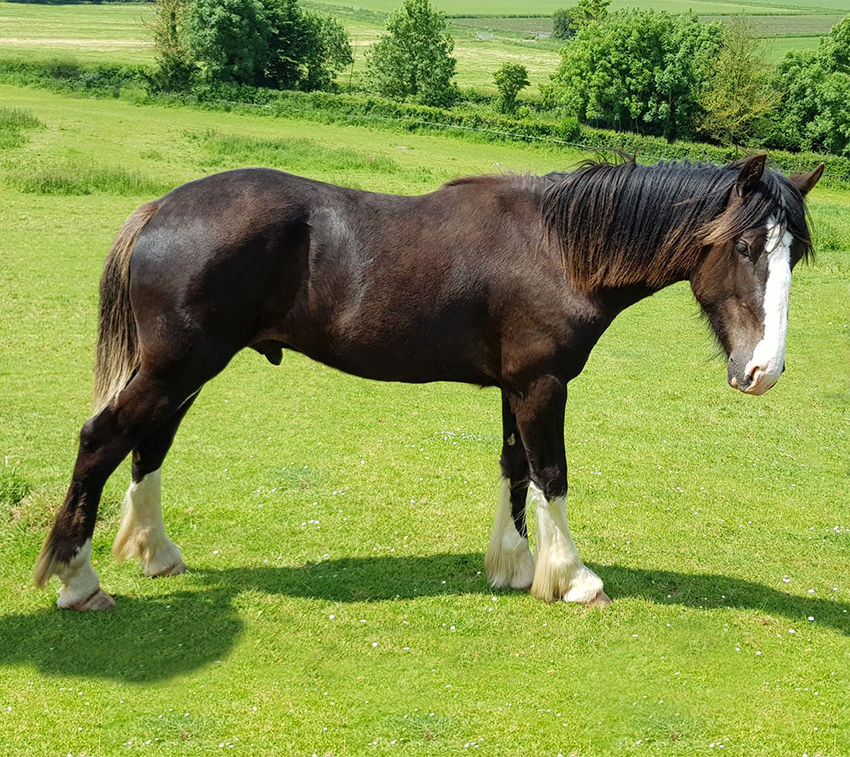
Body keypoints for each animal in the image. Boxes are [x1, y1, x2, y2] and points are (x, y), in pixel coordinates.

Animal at [33, 152, 820, 608]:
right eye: (745, 246)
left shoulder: (515, 385)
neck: (559, 248)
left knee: (151, 444)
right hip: (178, 364)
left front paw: (512, 566)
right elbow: (551, 474)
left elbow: (513, 469)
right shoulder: (542, 384)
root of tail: (160, 209)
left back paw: (156, 554)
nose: (764, 371)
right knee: (102, 439)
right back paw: (77, 579)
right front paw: (572, 579)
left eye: (796, 256)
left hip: (185, 369)